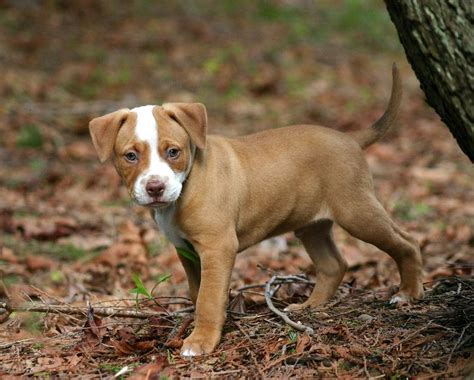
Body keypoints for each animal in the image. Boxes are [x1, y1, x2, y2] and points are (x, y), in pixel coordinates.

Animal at [90, 65, 424, 356]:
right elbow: (197, 291)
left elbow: (208, 298)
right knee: (334, 264)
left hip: (357, 211)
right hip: (312, 225)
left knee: (407, 242)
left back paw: (408, 292)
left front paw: (200, 341)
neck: (186, 185)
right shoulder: (186, 250)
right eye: (130, 156)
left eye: (173, 152)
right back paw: (310, 306)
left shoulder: (217, 247)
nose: (155, 187)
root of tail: (349, 138)